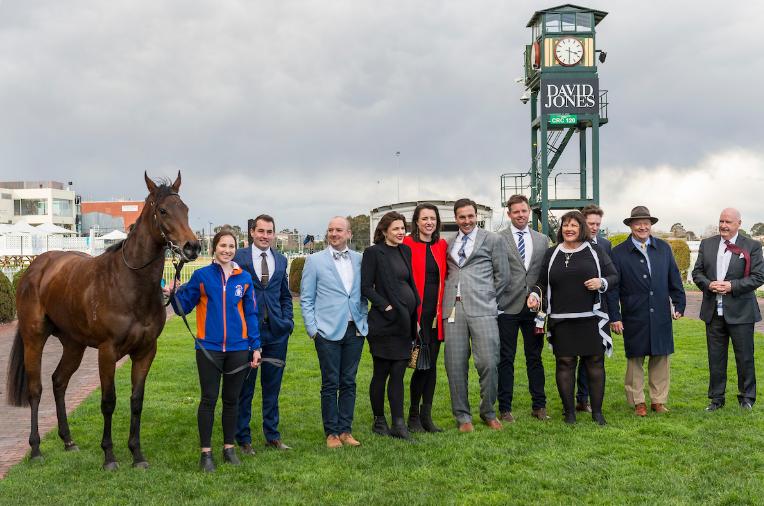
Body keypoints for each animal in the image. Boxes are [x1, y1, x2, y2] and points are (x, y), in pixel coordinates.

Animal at [5, 173, 200, 470]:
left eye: (186, 209)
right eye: (164, 210)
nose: (192, 247)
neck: (129, 284)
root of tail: (36, 267)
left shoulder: (146, 352)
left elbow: (136, 401)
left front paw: (137, 454)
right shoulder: (107, 352)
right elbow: (108, 402)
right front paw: (109, 455)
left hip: (74, 345)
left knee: (59, 381)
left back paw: (68, 441)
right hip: (33, 338)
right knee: (36, 389)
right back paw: (36, 448)